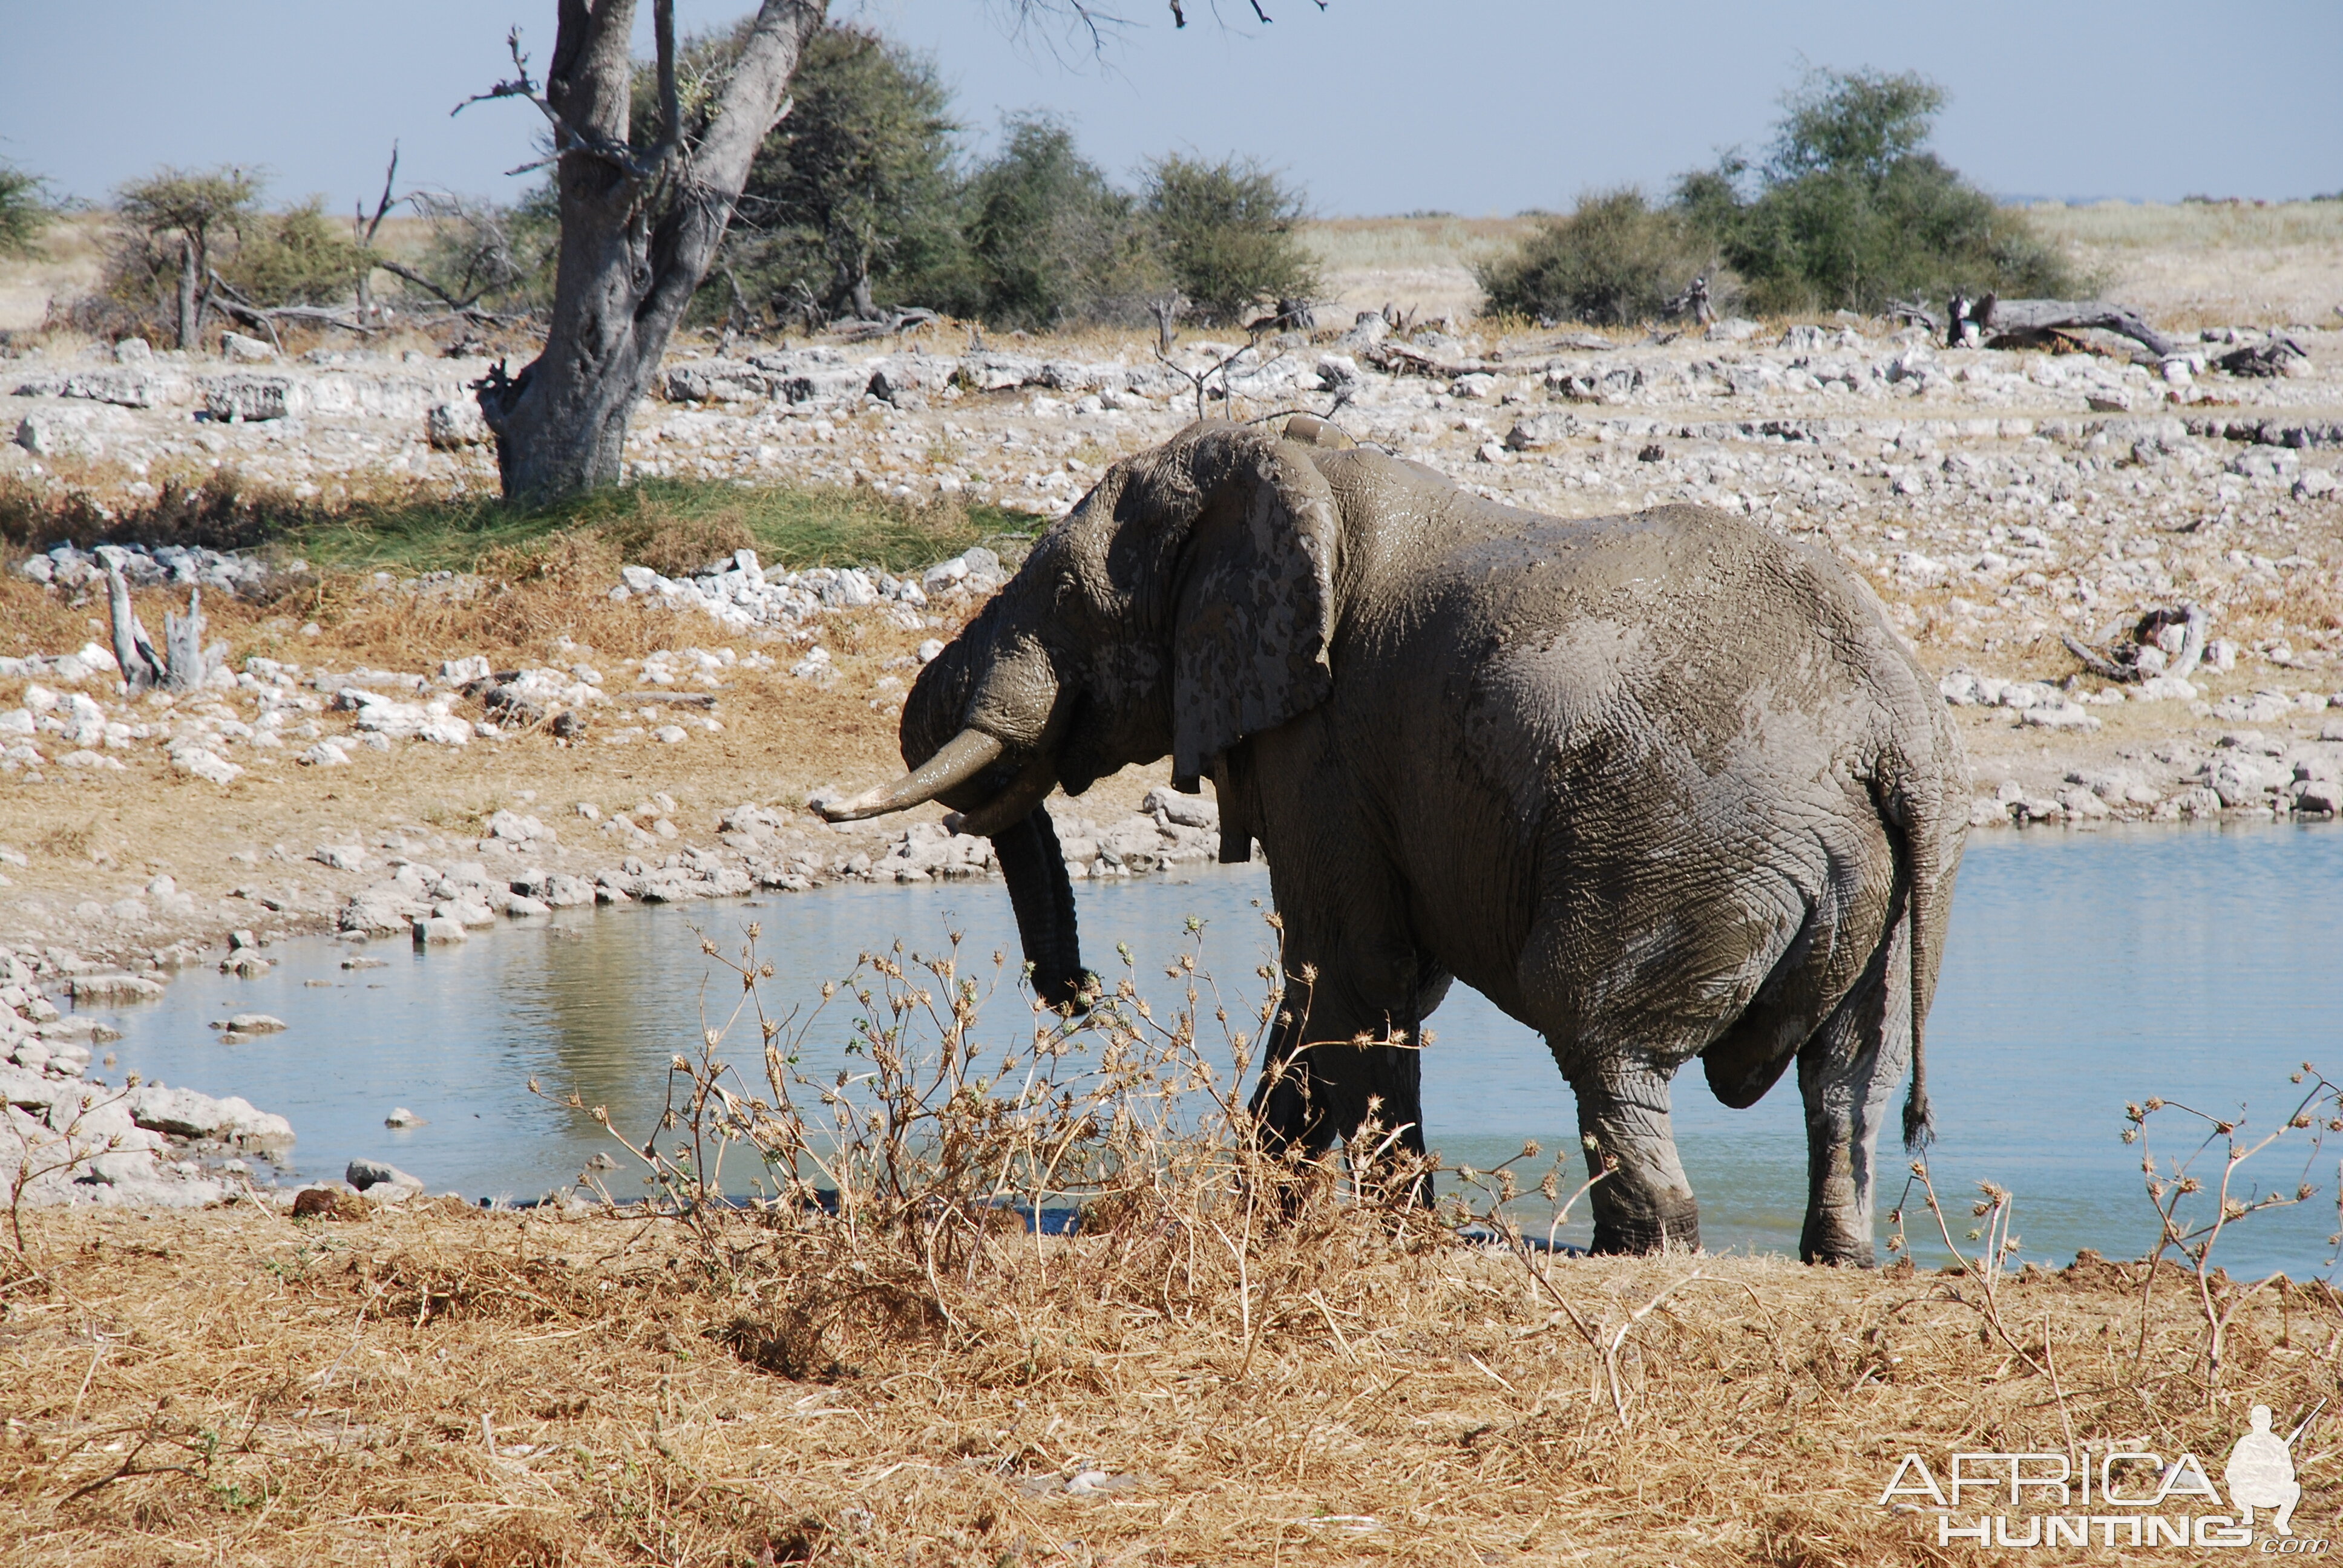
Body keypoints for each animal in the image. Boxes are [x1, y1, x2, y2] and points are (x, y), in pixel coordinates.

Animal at [815, 414, 1968, 1256]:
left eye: (1062, 594)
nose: (1076, 997)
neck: (1297, 470)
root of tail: (1897, 730)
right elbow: (1339, 988)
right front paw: (1263, 1215)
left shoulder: (1325, 741)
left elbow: (1349, 968)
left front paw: (1393, 1232)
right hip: (1880, 870)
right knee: (1850, 1072)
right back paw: (1837, 1256)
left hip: (1685, 844)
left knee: (1602, 1031)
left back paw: (1642, 1247)